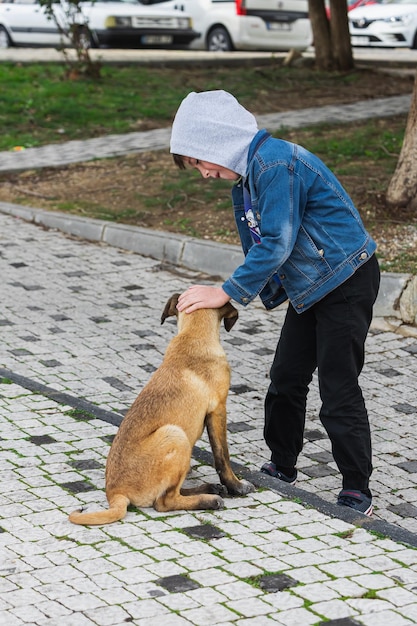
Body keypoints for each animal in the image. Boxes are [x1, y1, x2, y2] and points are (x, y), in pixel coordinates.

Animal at [68, 292, 254, 520]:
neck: (193, 335)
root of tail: (116, 495)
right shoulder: (218, 409)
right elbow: (222, 457)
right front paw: (237, 486)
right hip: (175, 435)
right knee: (164, 502)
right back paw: (209, 499)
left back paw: (209, 488)